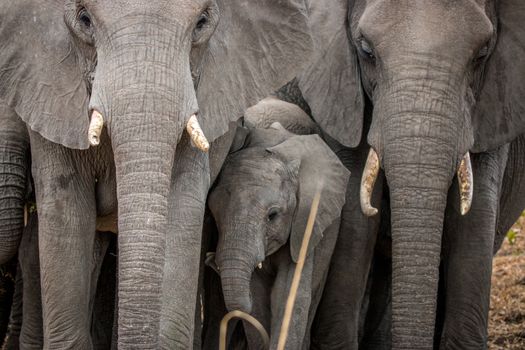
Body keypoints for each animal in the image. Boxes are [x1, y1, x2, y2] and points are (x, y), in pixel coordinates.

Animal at [205, 119, 348, 348]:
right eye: (212, 210)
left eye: (272, 215)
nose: (209, 259)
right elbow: (258, 296)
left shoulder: (305, 224)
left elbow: (289, 293)